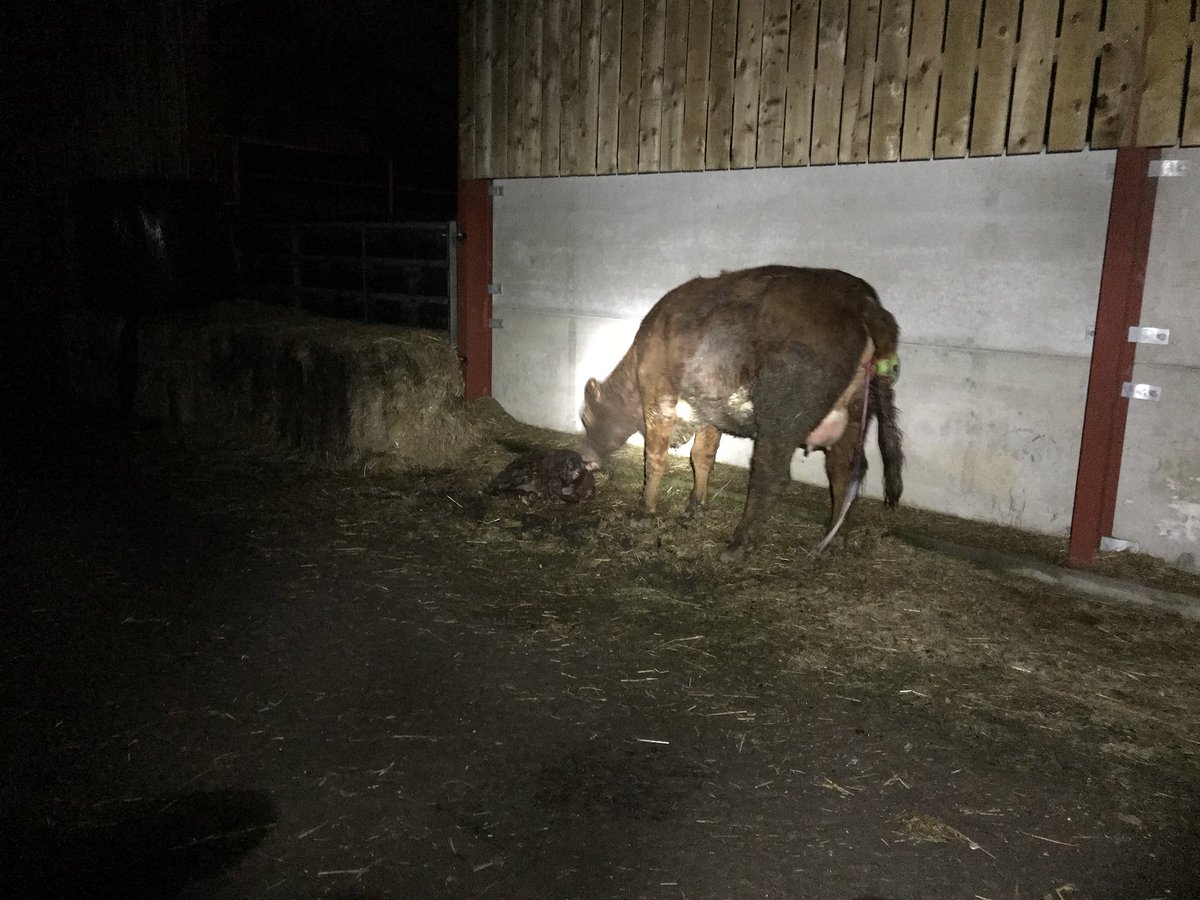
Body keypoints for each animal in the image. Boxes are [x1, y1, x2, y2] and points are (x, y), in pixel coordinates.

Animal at [577, 265, 903, 561]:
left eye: (586, 418)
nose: (583, 455)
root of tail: (860, 297)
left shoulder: (658, 397)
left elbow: (655, 459)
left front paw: (644, 511)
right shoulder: (706, 410)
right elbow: (702, 456)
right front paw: (695, 507)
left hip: (782, 414)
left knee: (769, 475)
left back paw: (738, 544)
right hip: (855, 413)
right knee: (844, 472)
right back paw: (832, 541)